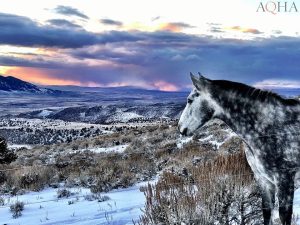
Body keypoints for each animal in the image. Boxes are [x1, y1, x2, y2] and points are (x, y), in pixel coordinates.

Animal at [178, 73, 300, 224]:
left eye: (189, 100)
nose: (180, 128)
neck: (267, 127)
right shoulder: (263, 180)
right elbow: (267, 212)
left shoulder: (285, 181)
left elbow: (284, 216)